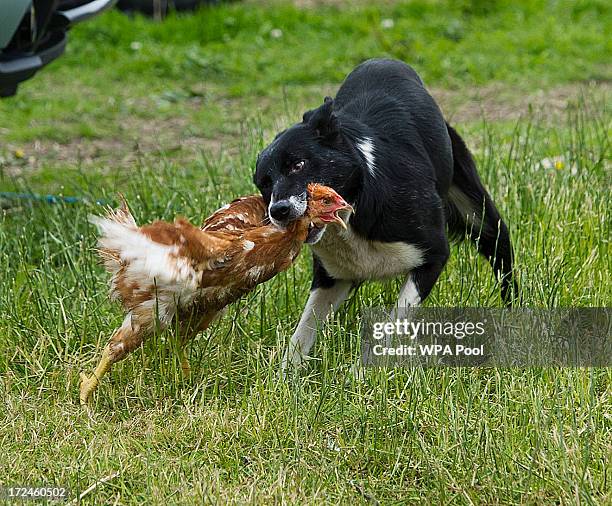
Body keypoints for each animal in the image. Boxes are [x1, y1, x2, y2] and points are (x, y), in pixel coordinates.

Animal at [253, 58, 516, 372]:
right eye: (263, 184)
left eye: (298, 165)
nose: (278, 210)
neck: (352, 216)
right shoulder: (332, 277)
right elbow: (304, 328)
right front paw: (286, 374)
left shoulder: (434, 255)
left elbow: (393, 321)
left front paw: (361, 371)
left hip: (478, 213)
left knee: (502, 254)